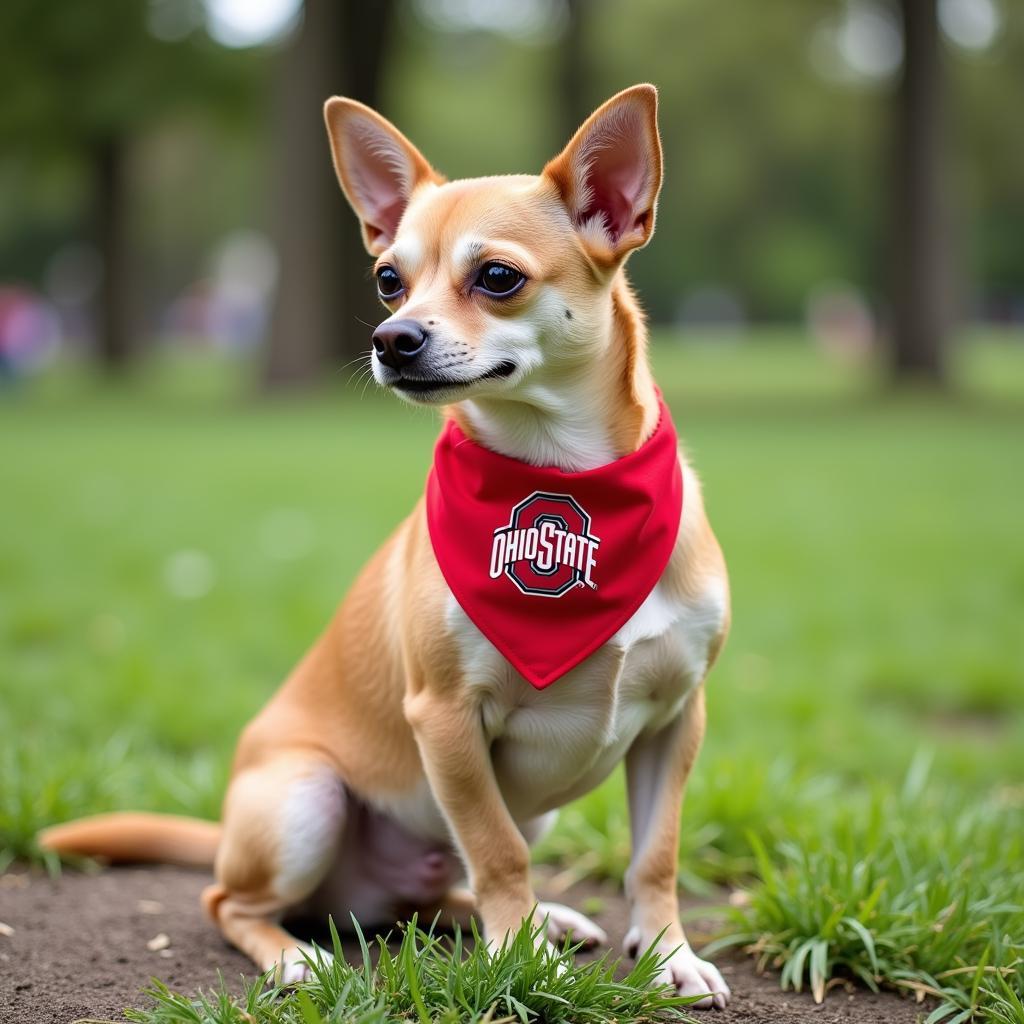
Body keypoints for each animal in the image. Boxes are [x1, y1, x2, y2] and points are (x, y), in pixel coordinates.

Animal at [39, 81, 729, 1007]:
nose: (391, 338)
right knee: (233, 902)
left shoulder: (676, 721)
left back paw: (542, 919)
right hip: (304, 800)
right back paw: (301, 956)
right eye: (388, 280)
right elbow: (498, 850)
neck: (564, 481)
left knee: (441, 892)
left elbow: (654, 856)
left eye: (498, 277)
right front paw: (524, 963)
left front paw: (665, 954)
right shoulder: (447, 719)